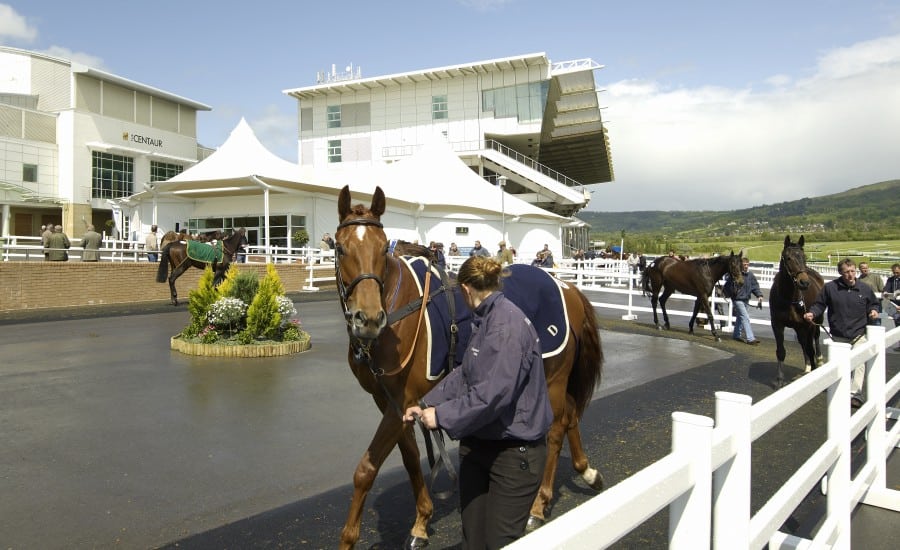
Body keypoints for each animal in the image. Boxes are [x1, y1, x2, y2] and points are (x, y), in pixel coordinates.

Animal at [332, 188, 604, 548]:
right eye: (341, 247)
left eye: (382, 246)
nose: (369, 318)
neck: (398, 309)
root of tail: (568, 289)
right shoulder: (389, 402)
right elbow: (409, 458)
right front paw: (421, 522)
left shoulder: (401, 400)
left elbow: (366, 469)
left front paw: (349, 538)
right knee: (572, 414)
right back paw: (587, 471)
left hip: (555, 376)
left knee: (558, 427)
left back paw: (539, 504)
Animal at [768, 236, 828, 388]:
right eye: (788, 258)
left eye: (804, 256)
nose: (804, 283)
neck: (789, 299)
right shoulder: (777, 324)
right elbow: (781, 352)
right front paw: (780, 379)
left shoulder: (807, 325)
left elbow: (810, 349)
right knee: (803, 343)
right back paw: (807, 366)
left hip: (816, 321)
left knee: (815, 341)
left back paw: (819, 361)